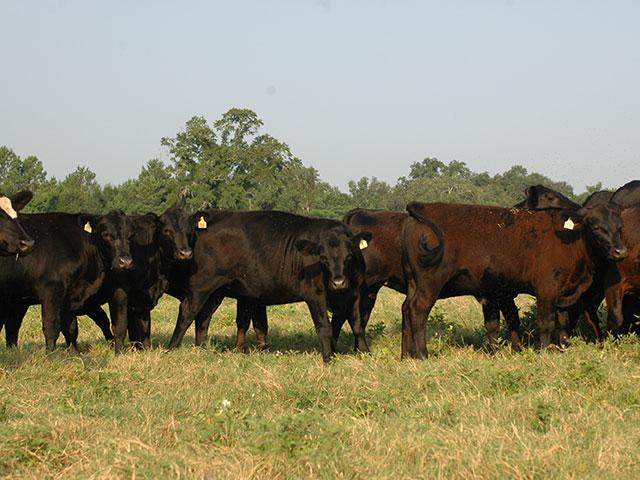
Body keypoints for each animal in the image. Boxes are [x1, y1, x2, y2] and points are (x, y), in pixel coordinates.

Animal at [0, 210, 134, 350]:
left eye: (131, 236)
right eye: (106, 234)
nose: (126, 262)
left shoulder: (70, 295)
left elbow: (71, 328)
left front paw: (74, 352)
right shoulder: (52, 291)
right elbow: (52, 326)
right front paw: (50, 353)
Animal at [165, 210, 372, 363]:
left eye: (349, 256)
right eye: (323, 259)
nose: (338, 282)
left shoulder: (355, 293)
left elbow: (357, 325)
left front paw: (364, 352)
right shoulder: (315, 295)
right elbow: (324, 326)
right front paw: (328, 358)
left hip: (217, 291)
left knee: (203, 317)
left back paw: (202, 349)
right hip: (201, 285)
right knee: (187, 312)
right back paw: (172, 348)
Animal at [400, 201, 627, 359]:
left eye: (619, 227)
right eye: (596, 227)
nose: (620, 251)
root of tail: (424, 207)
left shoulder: (565, 291)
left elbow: (563, 322)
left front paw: (564, 347)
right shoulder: (547, 288)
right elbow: (546, 322)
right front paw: (544, 351)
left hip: (414, 282)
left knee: (407, 308)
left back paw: (408, 355)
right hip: (430, 282)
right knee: (418, 310)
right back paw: (422, 354)